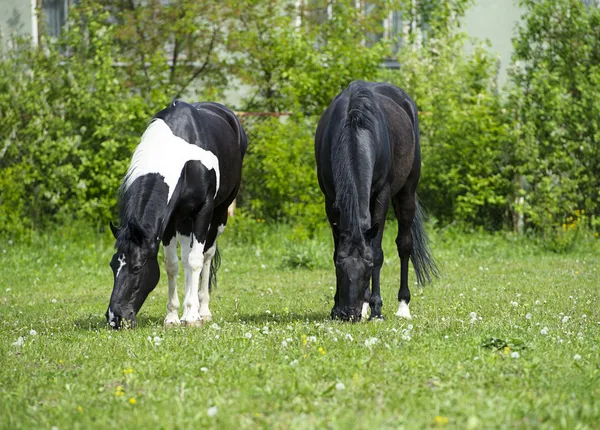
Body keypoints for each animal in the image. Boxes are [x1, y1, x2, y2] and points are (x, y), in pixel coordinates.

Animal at [106, 101, 247, 330]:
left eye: (137, 268)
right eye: (112, 266)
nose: (115, 318)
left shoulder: (203, 211)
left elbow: (197, 260)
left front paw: (192, 317)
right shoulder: (169, 220)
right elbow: (172, 265)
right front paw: (172, 317)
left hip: (220, 213)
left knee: (206, 256)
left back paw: (202, 311)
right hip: (184, 221)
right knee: (186, 258)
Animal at [316, 81, 438, 322]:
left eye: (368, 267)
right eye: (339, 266)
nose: (348, 313)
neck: (355, 128)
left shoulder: (382, 194)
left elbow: (379, 252)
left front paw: (377, 310)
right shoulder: (330, 199)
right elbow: (337, 248)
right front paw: (337, 308)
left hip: (406, 193)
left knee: (404, 245)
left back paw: (402, 306)